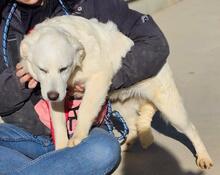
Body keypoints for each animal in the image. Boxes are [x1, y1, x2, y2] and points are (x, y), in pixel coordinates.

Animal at [20, 15, 213, 169]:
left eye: (63, 68)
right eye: (42, 69)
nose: (52, 96)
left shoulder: (99, 79)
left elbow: (85, 109)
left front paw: (78, 136)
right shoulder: (58, 92)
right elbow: (58, 123)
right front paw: (60, 148)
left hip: (171, 108)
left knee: (191, 129)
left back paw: (203, 156)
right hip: (121, 106)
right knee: (133, 127)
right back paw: (125, 144)